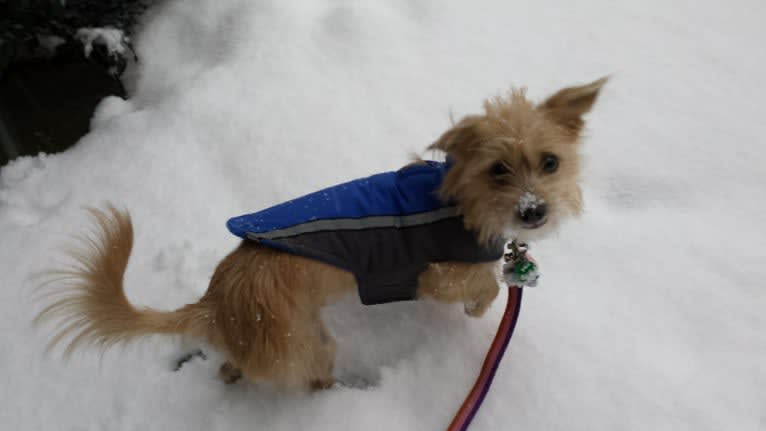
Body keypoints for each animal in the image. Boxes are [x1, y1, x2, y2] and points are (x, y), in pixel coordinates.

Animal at [36, 77, 608, 392]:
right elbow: (484, 284)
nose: (534, 212)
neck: (459, 201)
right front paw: (477, 308)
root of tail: (215, 304)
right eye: (497, 171)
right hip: (312, 343)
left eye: (551, 163)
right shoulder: (428, 275)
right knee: (312, 379)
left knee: (232, 367)